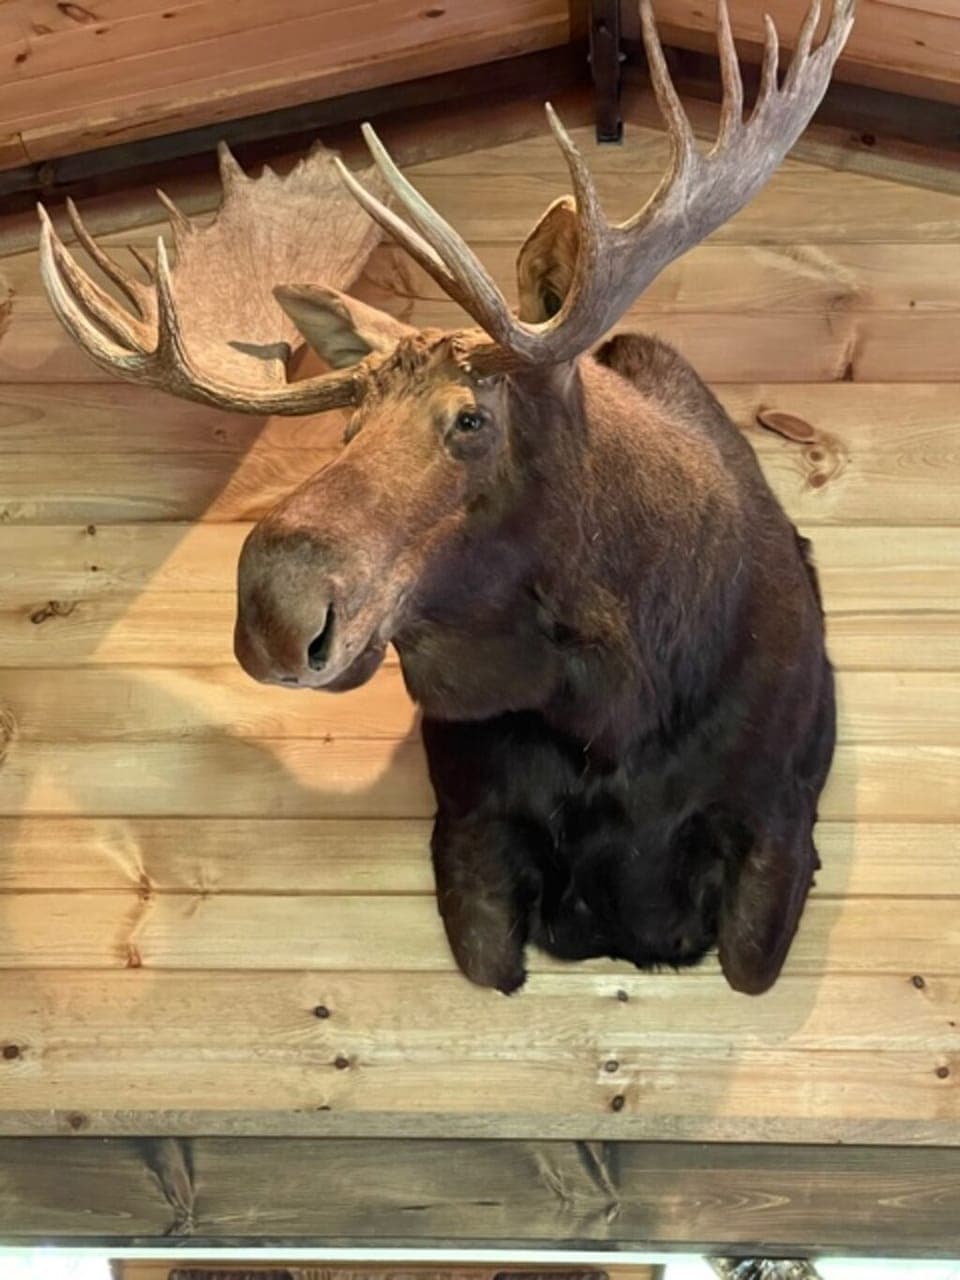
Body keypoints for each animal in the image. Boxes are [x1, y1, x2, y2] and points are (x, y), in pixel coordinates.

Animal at [39, 0, 853, 997]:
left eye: (472, 418)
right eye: (346, 428)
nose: (273, 610)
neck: (621, 706)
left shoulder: (780, 818)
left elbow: (747, 962)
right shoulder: (467, 826)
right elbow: (487, 955)